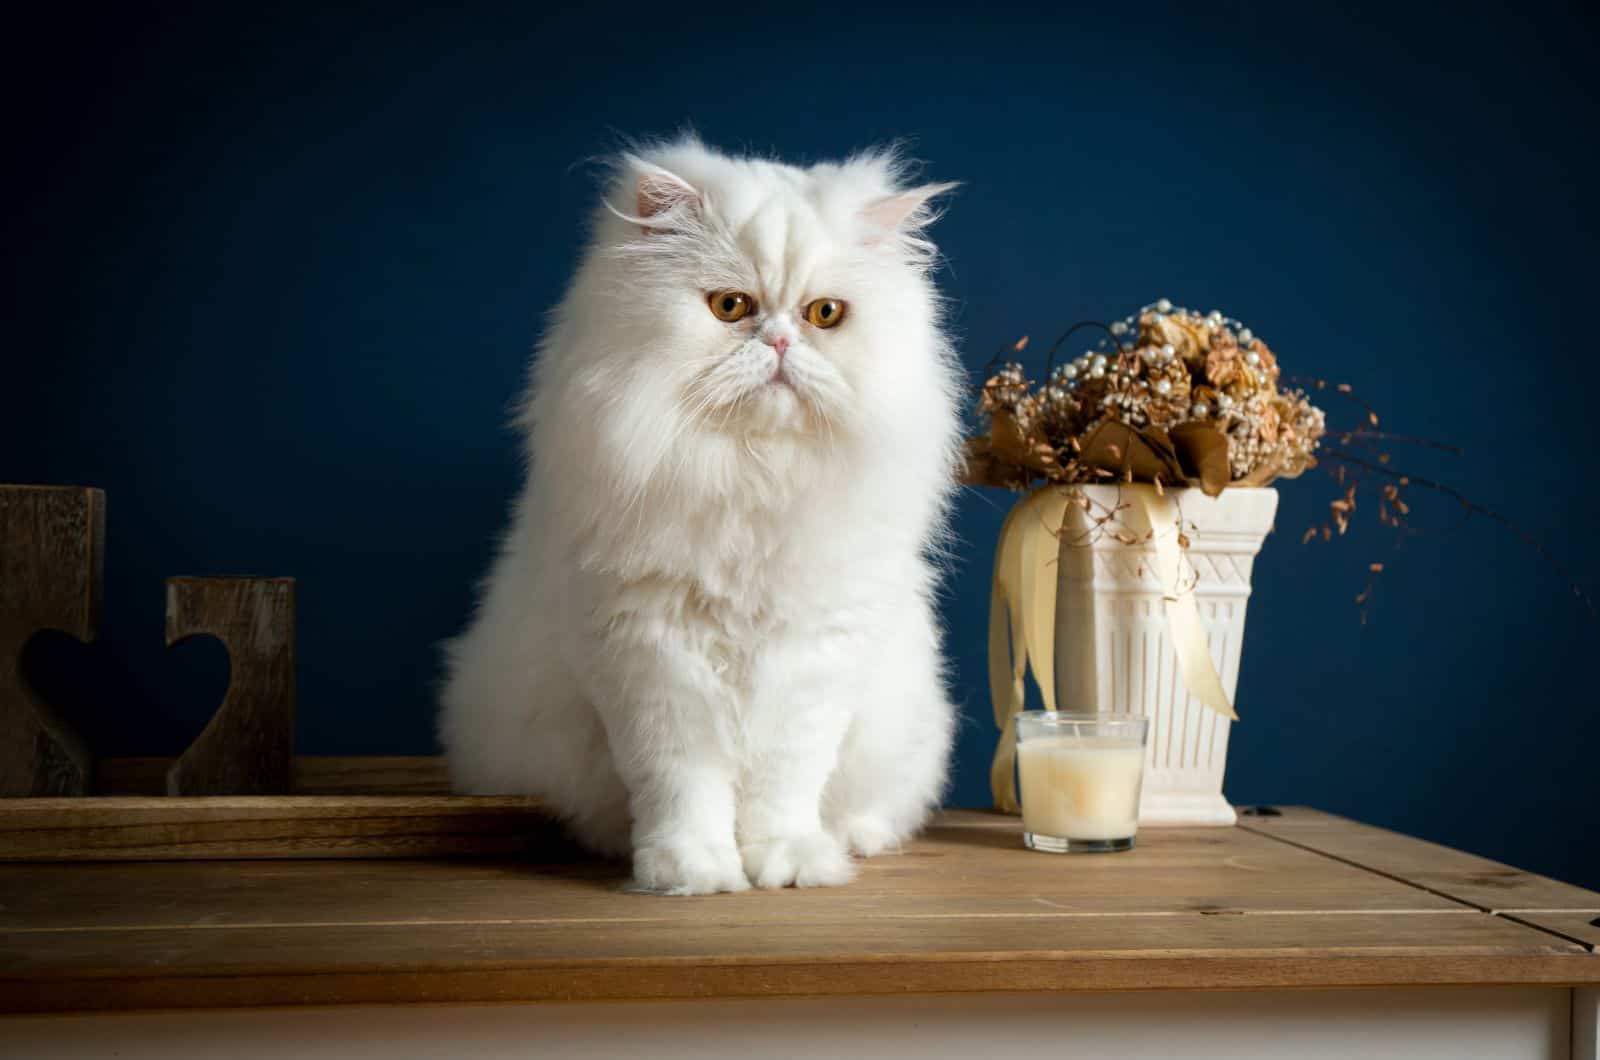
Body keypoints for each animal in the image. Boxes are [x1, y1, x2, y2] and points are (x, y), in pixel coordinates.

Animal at [438, 135, 960, 896]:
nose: (779, 342)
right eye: (730, 306)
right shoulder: (648, 656)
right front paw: (692, 872)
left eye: (824, 315)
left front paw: (790, 863)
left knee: (880, 809)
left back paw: (849, 842)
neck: (751, 481)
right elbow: (681, 785)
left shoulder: (816, 657)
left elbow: (785, 782)